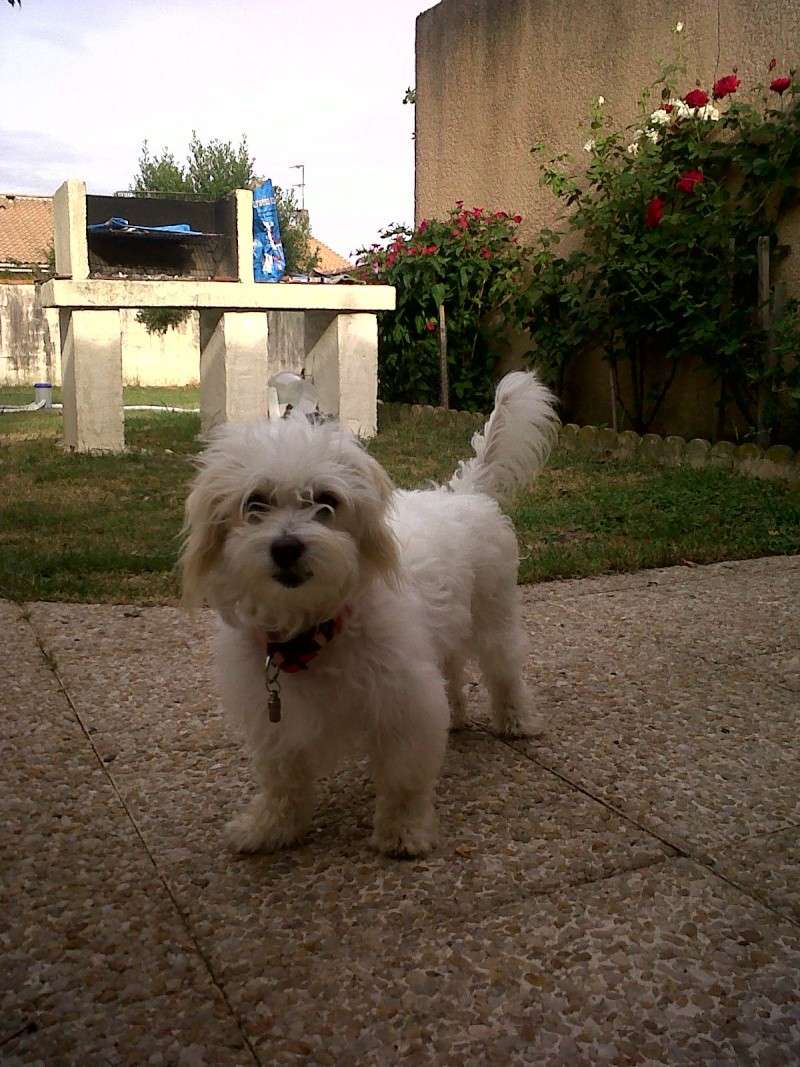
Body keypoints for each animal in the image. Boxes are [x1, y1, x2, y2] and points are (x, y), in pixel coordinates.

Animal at [181, 373, 558, 857]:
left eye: (326, 501)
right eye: (255, 503)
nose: (286, 548)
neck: (314, 632)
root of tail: (465, 493)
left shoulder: (404, 702)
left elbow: (403, 780)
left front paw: (403, 832)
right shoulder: (276, 721)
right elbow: (282, 783)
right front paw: (270, 827)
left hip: (493, 618)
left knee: (504, 672)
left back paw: (517, 721)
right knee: (453, 674)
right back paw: (457, 716)